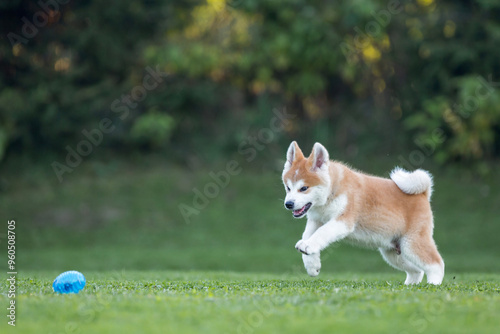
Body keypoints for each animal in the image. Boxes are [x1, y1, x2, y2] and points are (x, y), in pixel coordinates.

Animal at [282, 141, 446, 284]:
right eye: (288, 188)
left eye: (304, 188)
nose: (288, 204)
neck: (332, 191)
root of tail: (423, 194)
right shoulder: (316, 220)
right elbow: (309, 236)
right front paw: (312, 265)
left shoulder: (343, 221)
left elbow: (322, 233)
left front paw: (308, 247)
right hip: (393, 253)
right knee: (417, 271)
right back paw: (410, 286)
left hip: (411, 243)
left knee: (436, 264)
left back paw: (433, 285)